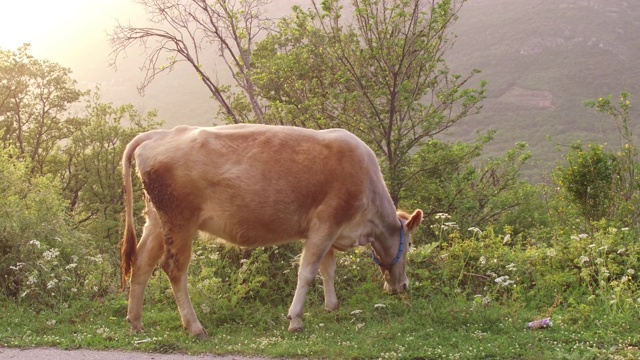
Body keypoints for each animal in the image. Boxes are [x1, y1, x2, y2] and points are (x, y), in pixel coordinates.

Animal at [119, 124, 422, 338]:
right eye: (409, 246)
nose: (404, 286)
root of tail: (158, 134)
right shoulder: (325, 224)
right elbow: (307, 273)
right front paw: (295, 319)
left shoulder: (329, 232)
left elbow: (328, 270)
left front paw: (331, 306)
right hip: (180, 220)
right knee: (174, 269)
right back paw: (195, 327)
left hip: (156, 221)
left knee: (141, 263)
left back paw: (135, 323)